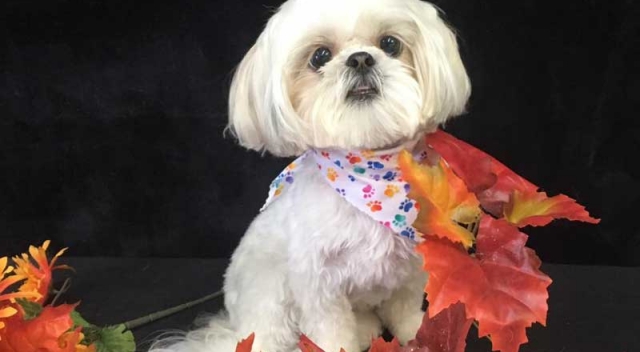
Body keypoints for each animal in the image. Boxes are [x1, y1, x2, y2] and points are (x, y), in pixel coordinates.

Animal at [150, 0, 470, 350]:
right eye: (319, 56)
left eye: (390, 44)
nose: (360, 58)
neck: (371, 179)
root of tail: (234, 328)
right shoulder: (320, 286)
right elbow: (330, 330)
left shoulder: (413, 267)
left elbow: (406, 309)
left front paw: (419, 335)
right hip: (271, 298)